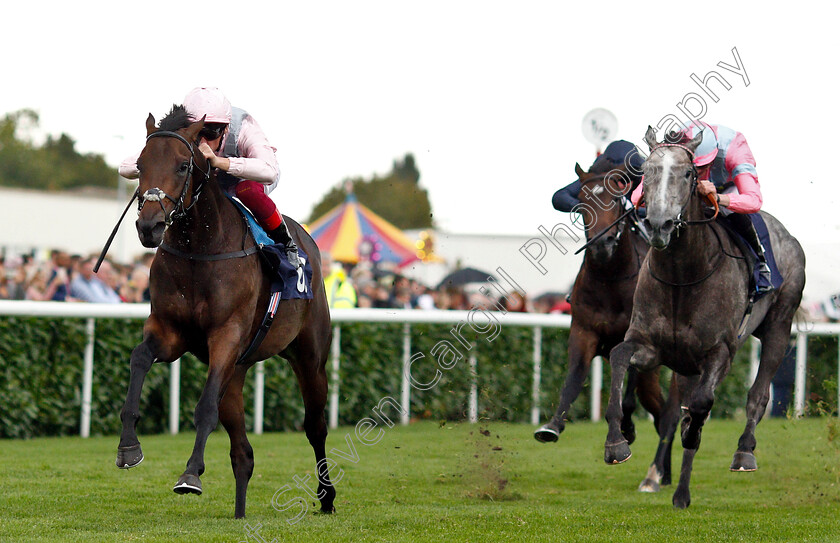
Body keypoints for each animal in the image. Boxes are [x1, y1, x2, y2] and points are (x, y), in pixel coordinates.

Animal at [115, 106, 338, 520]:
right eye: (139, 165)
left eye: (183, 165)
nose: (149, 226)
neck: (200, 251)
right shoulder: (169, 332)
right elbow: (139, 358)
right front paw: (128, 446)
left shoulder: (226, 336)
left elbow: (205, 408)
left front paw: (190, 474)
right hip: (238, 370)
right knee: (243, 453)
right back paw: (239, 510)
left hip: (309, 357)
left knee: (315, 427)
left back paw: (327, 497)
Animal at [532, 163, 684, 492]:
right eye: (582, 202)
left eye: (615, 199)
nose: (602, 245)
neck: (611, 279)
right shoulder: (583, 331)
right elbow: (574, 377)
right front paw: (552, 425)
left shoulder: (639, 339)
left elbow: (626, 392)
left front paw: (625, 429)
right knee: (658, 409)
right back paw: (662, 473)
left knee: (668, 413)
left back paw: (655, 475)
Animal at [604, 127, 808, 510]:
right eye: (647, 173)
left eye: (688, 174)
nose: (659, 224)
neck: (682, 276)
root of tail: (788, 236)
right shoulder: (649, 346)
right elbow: (619, 358)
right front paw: (617, 441)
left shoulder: (720, 352)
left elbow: (701, 407)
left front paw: (692, 435)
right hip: (684, 364)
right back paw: (673, 487)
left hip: (779, 324)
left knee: (757, 395)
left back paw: (743, 453)